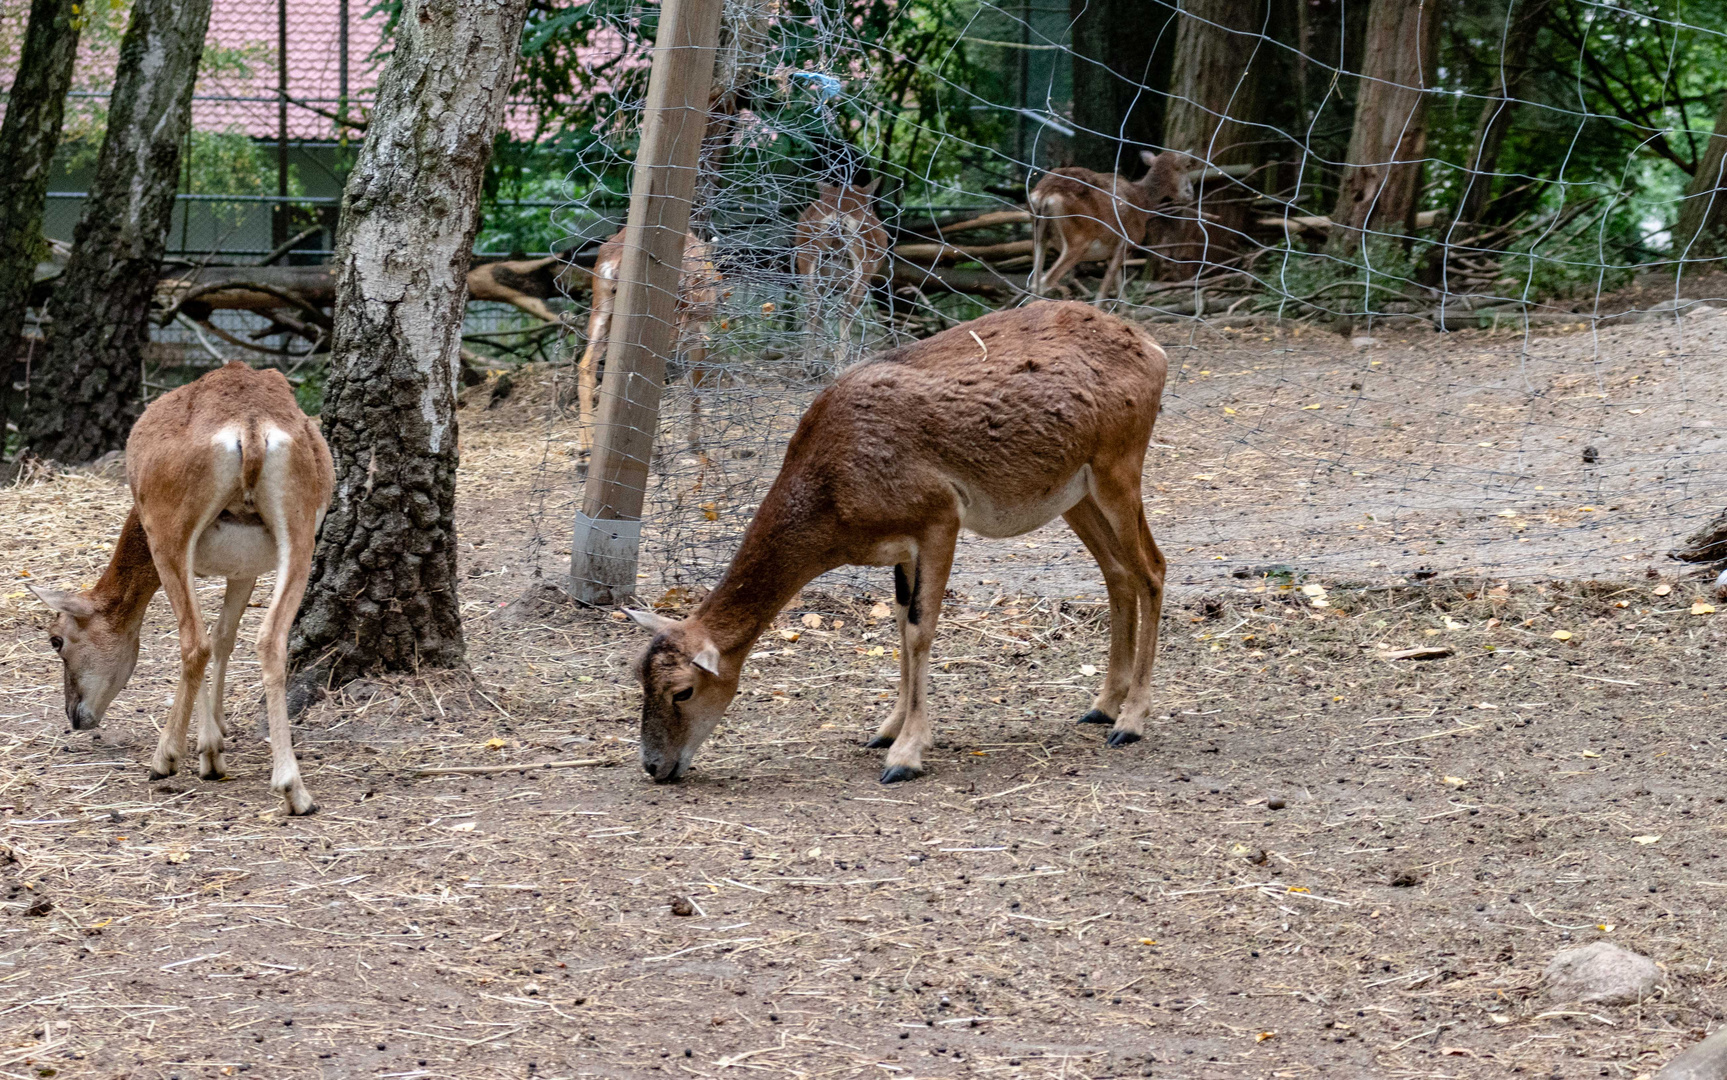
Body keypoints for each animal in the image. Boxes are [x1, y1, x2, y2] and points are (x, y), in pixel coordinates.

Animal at [27, 364, 333, 815]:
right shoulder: (245, 567)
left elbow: (205, 638)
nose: (74, 716)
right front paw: (218, 736)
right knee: (268, 640)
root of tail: (251, 427)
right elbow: (224, 636)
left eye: (56, 639)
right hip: (299, 534)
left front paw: (208, 753)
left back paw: (164, 758)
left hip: (172, 533)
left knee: (193, 642)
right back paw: (295, 790)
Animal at [576, 229, 718, 452]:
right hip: (668, 317)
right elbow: (696, 381)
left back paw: (586, 445)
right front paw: (695, 440)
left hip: (601, 309)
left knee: (586, 365)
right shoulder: (698, 330)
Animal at [625, 304, 1174, 784]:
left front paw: (906, 756)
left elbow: (919, 630)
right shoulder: (901, 549)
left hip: (1118, 468)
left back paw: (1131, 720)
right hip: (1074, 494)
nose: (654, 766)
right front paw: (886, 731)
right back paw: (1102, 707)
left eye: (682, 691)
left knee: (1152, 567)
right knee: (1117, 572)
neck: (834, 492)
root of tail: (1154, 350)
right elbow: (898, 620)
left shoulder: (939, 519)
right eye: (638, 678)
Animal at [1022, 149, 1188, 300]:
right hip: (1078, 241)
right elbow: (1103, 292)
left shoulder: (1110, 252)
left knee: (1034, 281)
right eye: (1184, 168)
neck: (1142, 200)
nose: (1189, 193)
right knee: (1044, 282)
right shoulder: (1125, 243)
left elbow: (1121, 294)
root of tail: (1046, 194)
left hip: (1039, 235)